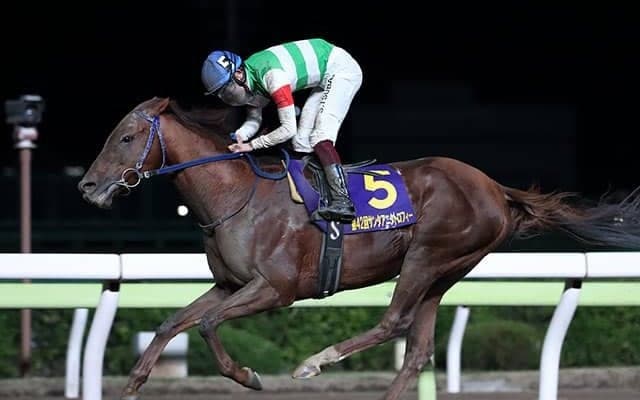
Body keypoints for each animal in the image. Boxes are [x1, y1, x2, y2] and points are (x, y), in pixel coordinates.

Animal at [78, 96, 640, 400]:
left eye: (125, 137)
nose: (87, 187)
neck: (237, 196)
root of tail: (495, 188)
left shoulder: (277, 288)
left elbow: (210, 326)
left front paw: (249, 375)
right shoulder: (228, 284)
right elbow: (174, 324)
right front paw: (132, 384)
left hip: (428, 256)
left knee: (395, 323)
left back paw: (315, 361)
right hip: (444, 272)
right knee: (417, 350)